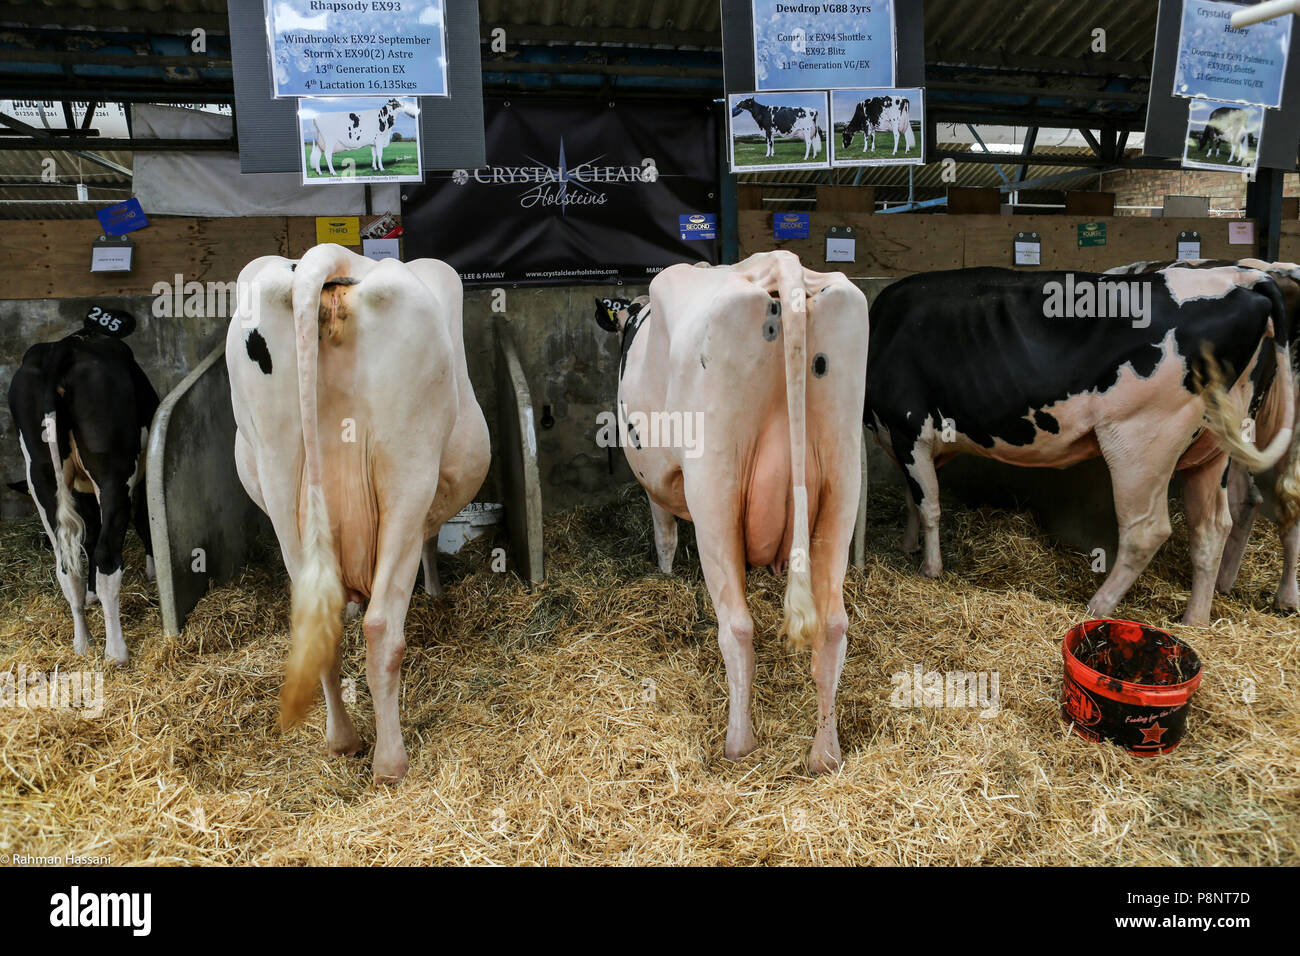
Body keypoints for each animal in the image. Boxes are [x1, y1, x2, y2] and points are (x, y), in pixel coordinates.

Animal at [7, 314, 157, 665]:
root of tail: (62, 348)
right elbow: (142, 520)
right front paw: (153, 572)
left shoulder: (79, 489)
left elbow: (87, 537)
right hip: (115, 471)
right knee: (106, 555)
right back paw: (116, 651)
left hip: (42, 476)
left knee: (66, 563)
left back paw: (82, 642)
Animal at [226, 243, 488, 780]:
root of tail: (328, 256)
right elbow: (428, 543)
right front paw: (435, 592)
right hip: (408, 470)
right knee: (382, 626)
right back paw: (391, 762)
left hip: (278, 473)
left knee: (317, 618)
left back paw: (342, 740)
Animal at [863, 269, 1300, 629]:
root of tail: (1245, 281)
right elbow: (913, 498)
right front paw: (908, 546)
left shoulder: (908, 427)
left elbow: (929, 505)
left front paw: (929, 569)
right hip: (1213, 446)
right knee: (1211, 527)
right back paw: (1195, 619)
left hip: (1142, 441)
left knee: (1146, 530)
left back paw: (1097, 606)